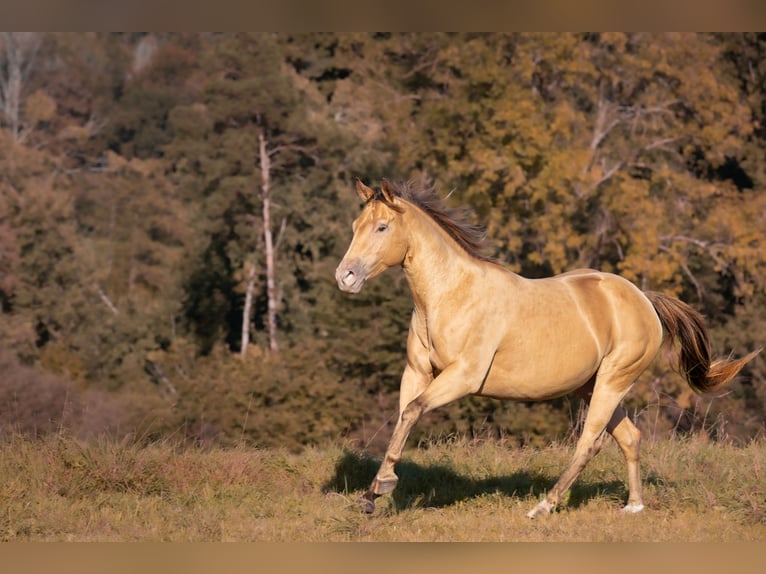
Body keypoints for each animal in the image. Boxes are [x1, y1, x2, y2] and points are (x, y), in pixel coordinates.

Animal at [335, 178, 760, 518]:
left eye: (382, 227)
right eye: (356, 226)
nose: (345, 277)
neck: (450, 294)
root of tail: (644, 300)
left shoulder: (462, 378)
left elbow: (411, 412)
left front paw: (381, 487)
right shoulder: (417, 373)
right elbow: (403, 417)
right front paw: (372, 494)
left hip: (612, 381)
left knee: (590, 443)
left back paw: (544, 506)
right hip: (594, 385)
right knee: (629, 437)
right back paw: (634, 506)